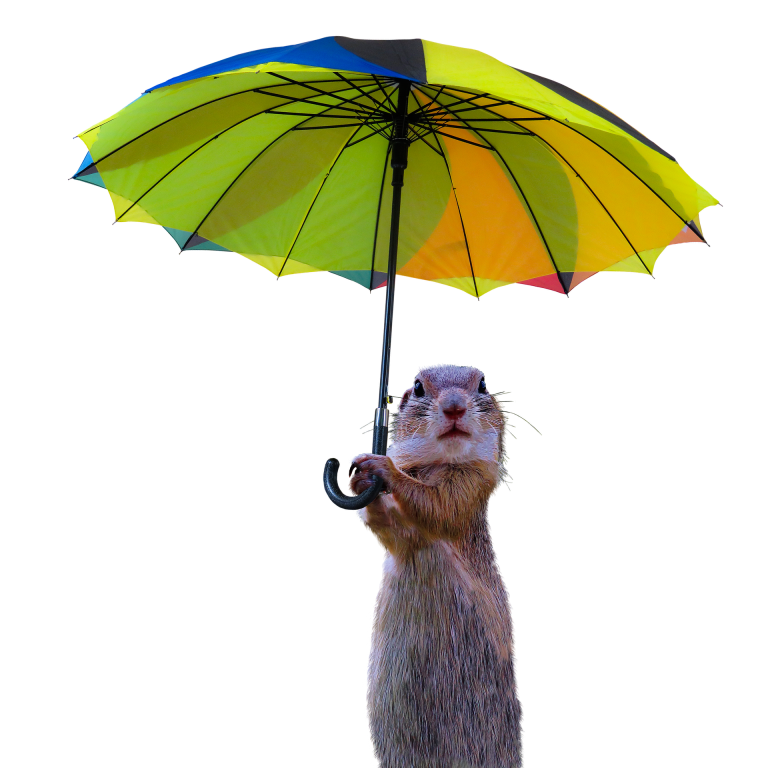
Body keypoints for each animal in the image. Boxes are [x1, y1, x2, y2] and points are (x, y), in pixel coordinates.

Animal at [348, 362, 524, 768]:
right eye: (417, 387)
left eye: (483, 384)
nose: (455, 407)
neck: (441, 462)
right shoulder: (400, 536)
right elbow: (385, 524)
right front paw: (358, 477)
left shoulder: (469, 485)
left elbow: (437, 505)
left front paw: (382, 467)